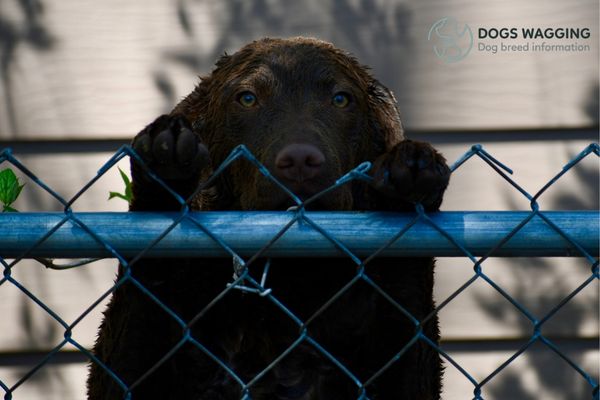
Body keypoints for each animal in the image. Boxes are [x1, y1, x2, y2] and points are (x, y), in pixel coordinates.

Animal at [86, 36, 448, 396]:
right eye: (247, 98)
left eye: (341, 99)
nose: (301, 160)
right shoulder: (123, 369)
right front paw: (163, 162)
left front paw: (411, 168)